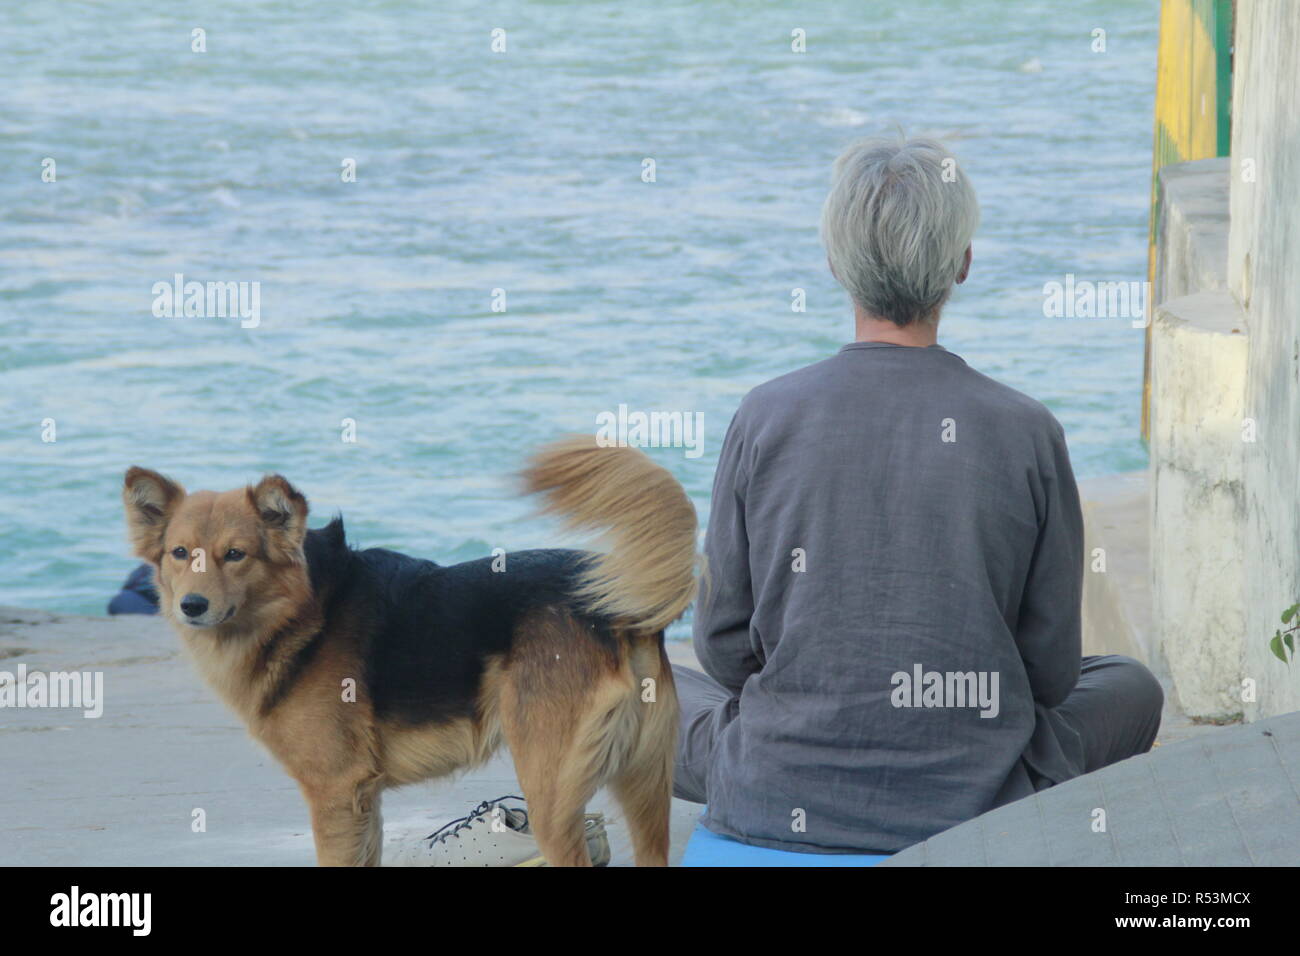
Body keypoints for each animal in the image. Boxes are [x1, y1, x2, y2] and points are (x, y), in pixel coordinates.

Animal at [122, 439, 696, 868]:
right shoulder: (364, 802)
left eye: (236, 555)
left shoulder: (335, 796)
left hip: (551, 795)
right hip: (644, 786)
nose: (191, 606)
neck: (307, 610)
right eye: (179, 553)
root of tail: (618, 611)